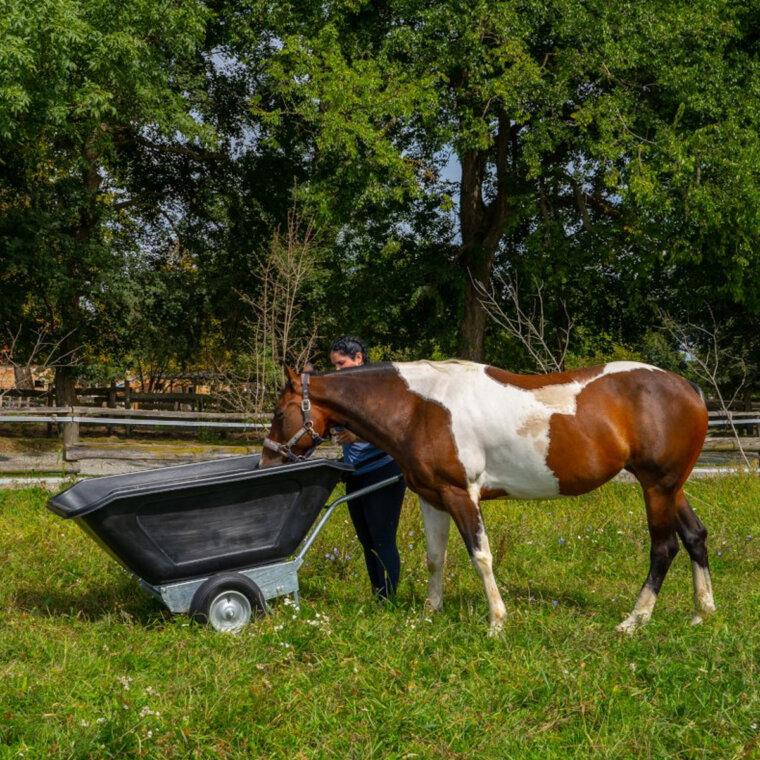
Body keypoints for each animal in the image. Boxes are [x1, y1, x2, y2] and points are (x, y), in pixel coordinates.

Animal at [260, 360, 712, 632]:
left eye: (279, 413)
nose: (266, 461)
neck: (419, 408)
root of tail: (688, 387)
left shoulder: (462, 494)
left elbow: (480, 555)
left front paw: (497, 621)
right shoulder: (432, 497)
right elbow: (435, 558)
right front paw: (429, 613)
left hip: (657, 486)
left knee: (664, 547)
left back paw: (634, 621)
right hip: (671, 487)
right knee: (695, 536)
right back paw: (701, 612)